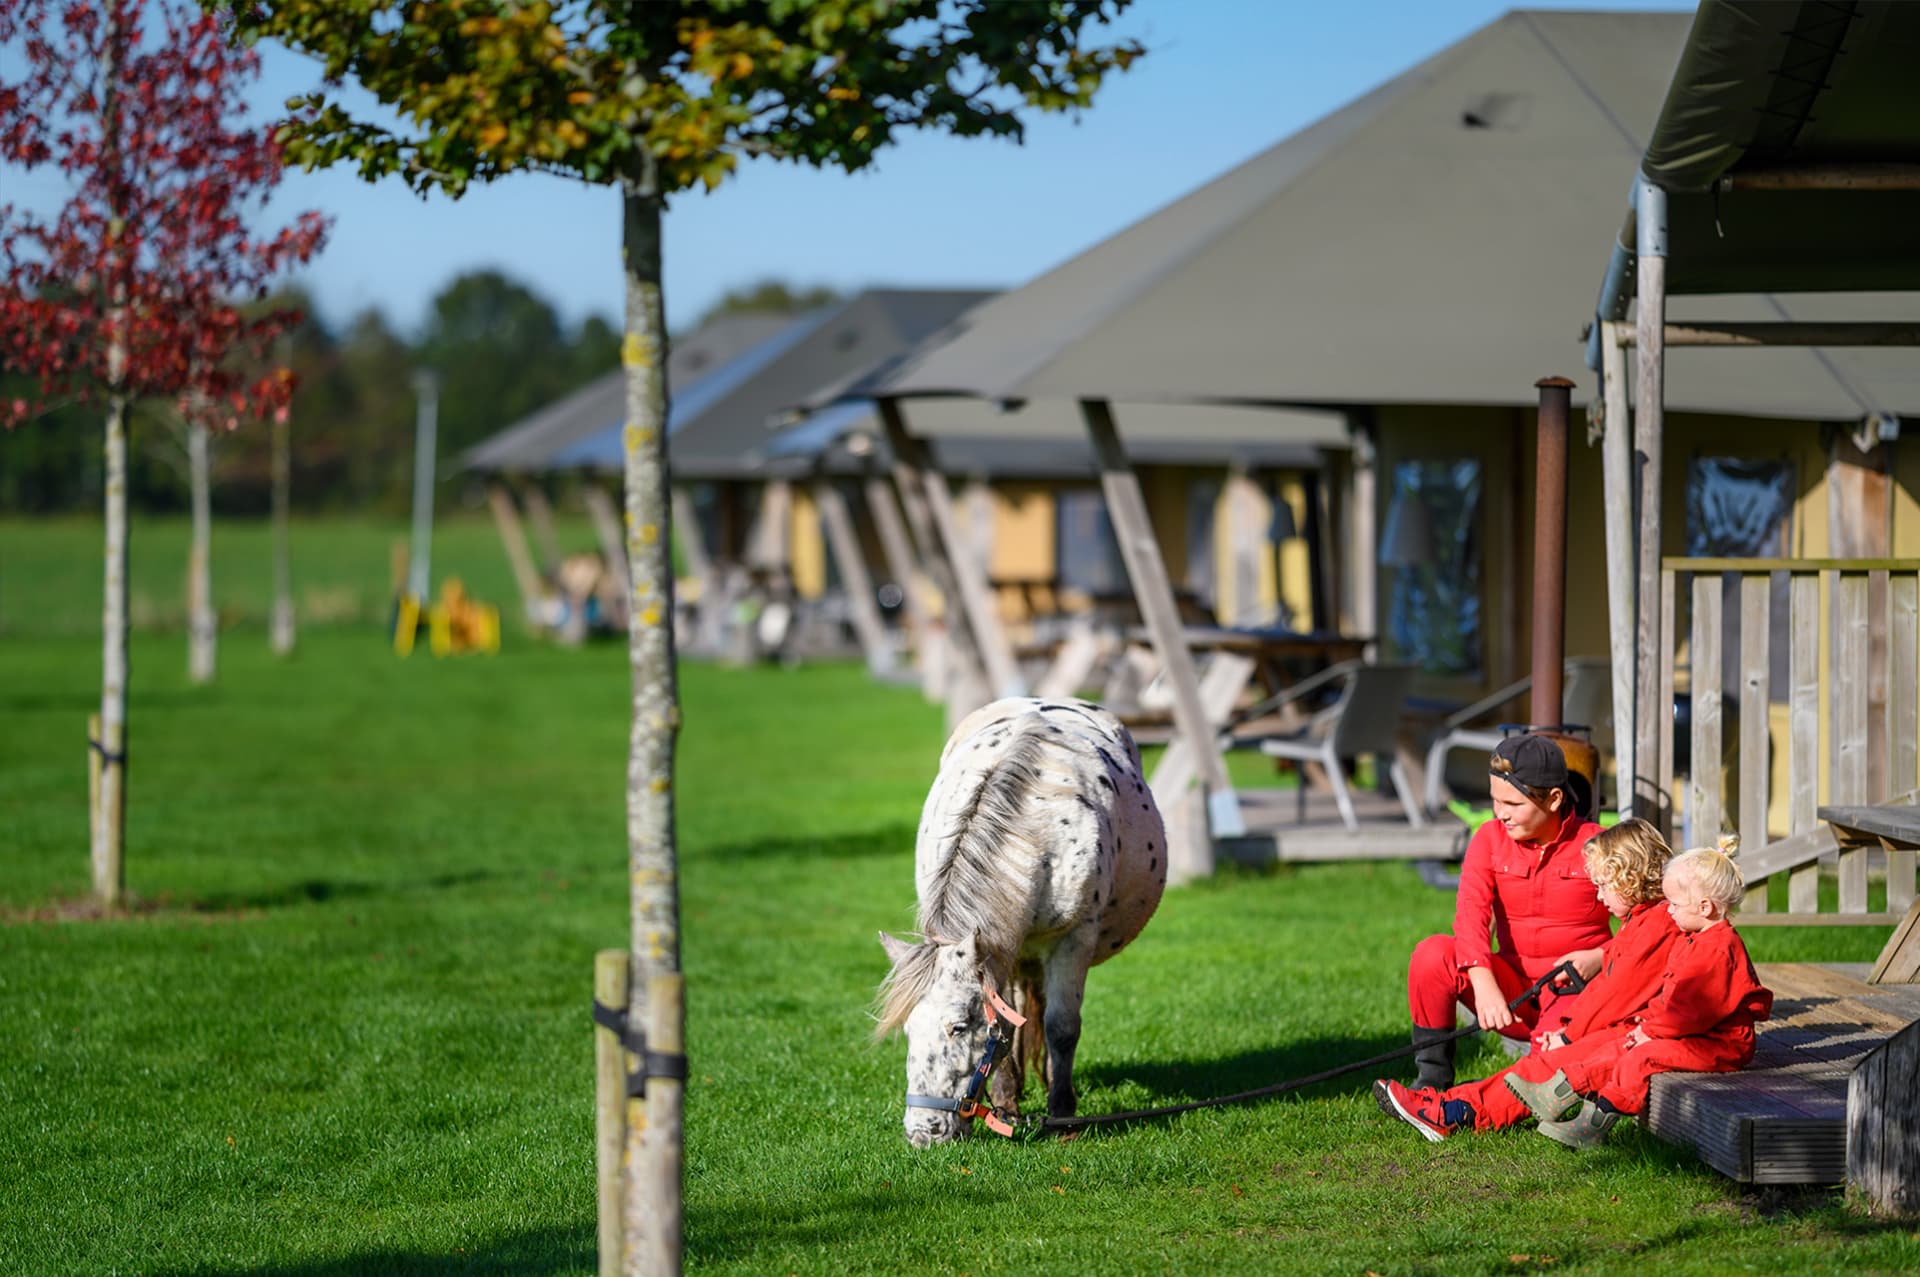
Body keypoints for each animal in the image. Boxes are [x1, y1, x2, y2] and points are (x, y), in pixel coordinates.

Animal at [875, 697, 1167, 1146]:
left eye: (958, 1027)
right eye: (908, 1029)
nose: (923, 1133)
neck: (1036, 833)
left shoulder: (1073, 939)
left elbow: (1062, 1027)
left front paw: (1063, 1116)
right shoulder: (1000, 947)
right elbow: (1008, 1025)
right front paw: (1007, 1104)